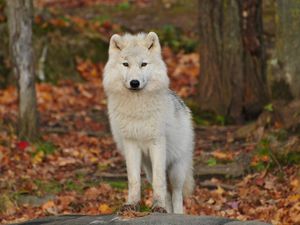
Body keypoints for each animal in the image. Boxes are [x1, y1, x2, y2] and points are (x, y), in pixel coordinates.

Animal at [103, 31, 195, 213]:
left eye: (143, 64)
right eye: (125, 64)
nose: (134, 83)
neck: (137, 108)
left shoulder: (157, 143)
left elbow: (160, 182)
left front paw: (158, 206)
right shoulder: (131, 144)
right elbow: (133, 180)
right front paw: (132, 204)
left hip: (176, 169)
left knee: (177, 194)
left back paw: (176, 213)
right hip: (148, 169)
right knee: (167, 193)